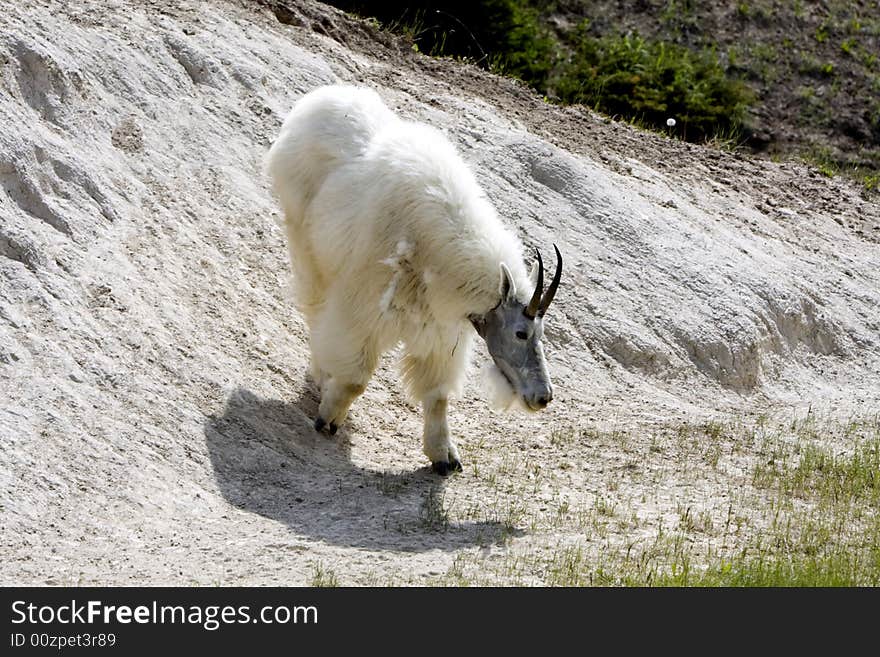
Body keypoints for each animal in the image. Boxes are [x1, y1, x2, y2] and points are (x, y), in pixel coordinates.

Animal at [264, 84, 560, 474]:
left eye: (541, 333)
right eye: (521, 333)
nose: (543, 397)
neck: (440, 246)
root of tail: (320, 99)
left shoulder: (441, 330)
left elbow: (438, 396)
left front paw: (444, 456)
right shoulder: (364, 305)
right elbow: (356, 378)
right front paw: (328, 418)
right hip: (306, 243)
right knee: (315, 308)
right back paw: (322, 373)